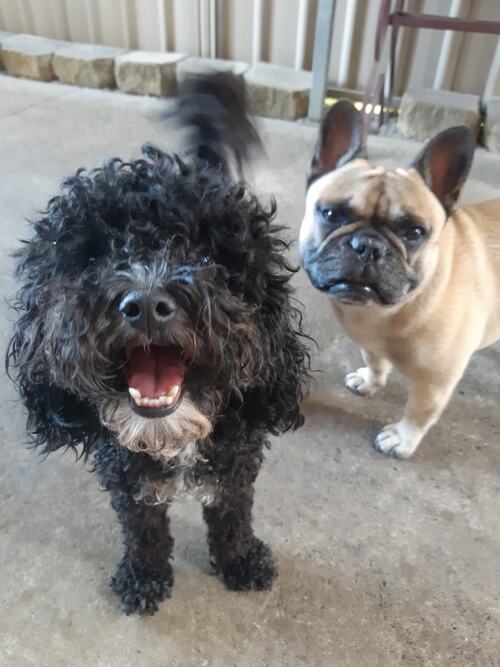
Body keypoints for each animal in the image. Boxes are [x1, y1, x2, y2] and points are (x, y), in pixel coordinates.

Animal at [7, 74, 310, 616]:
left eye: (209, 256)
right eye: (95, 255)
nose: (146, 303)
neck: (176, 440)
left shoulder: (238, 467)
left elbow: (233, 518)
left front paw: (241, 561)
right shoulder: (127, 480)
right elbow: (144, 531)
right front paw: (144, 578)